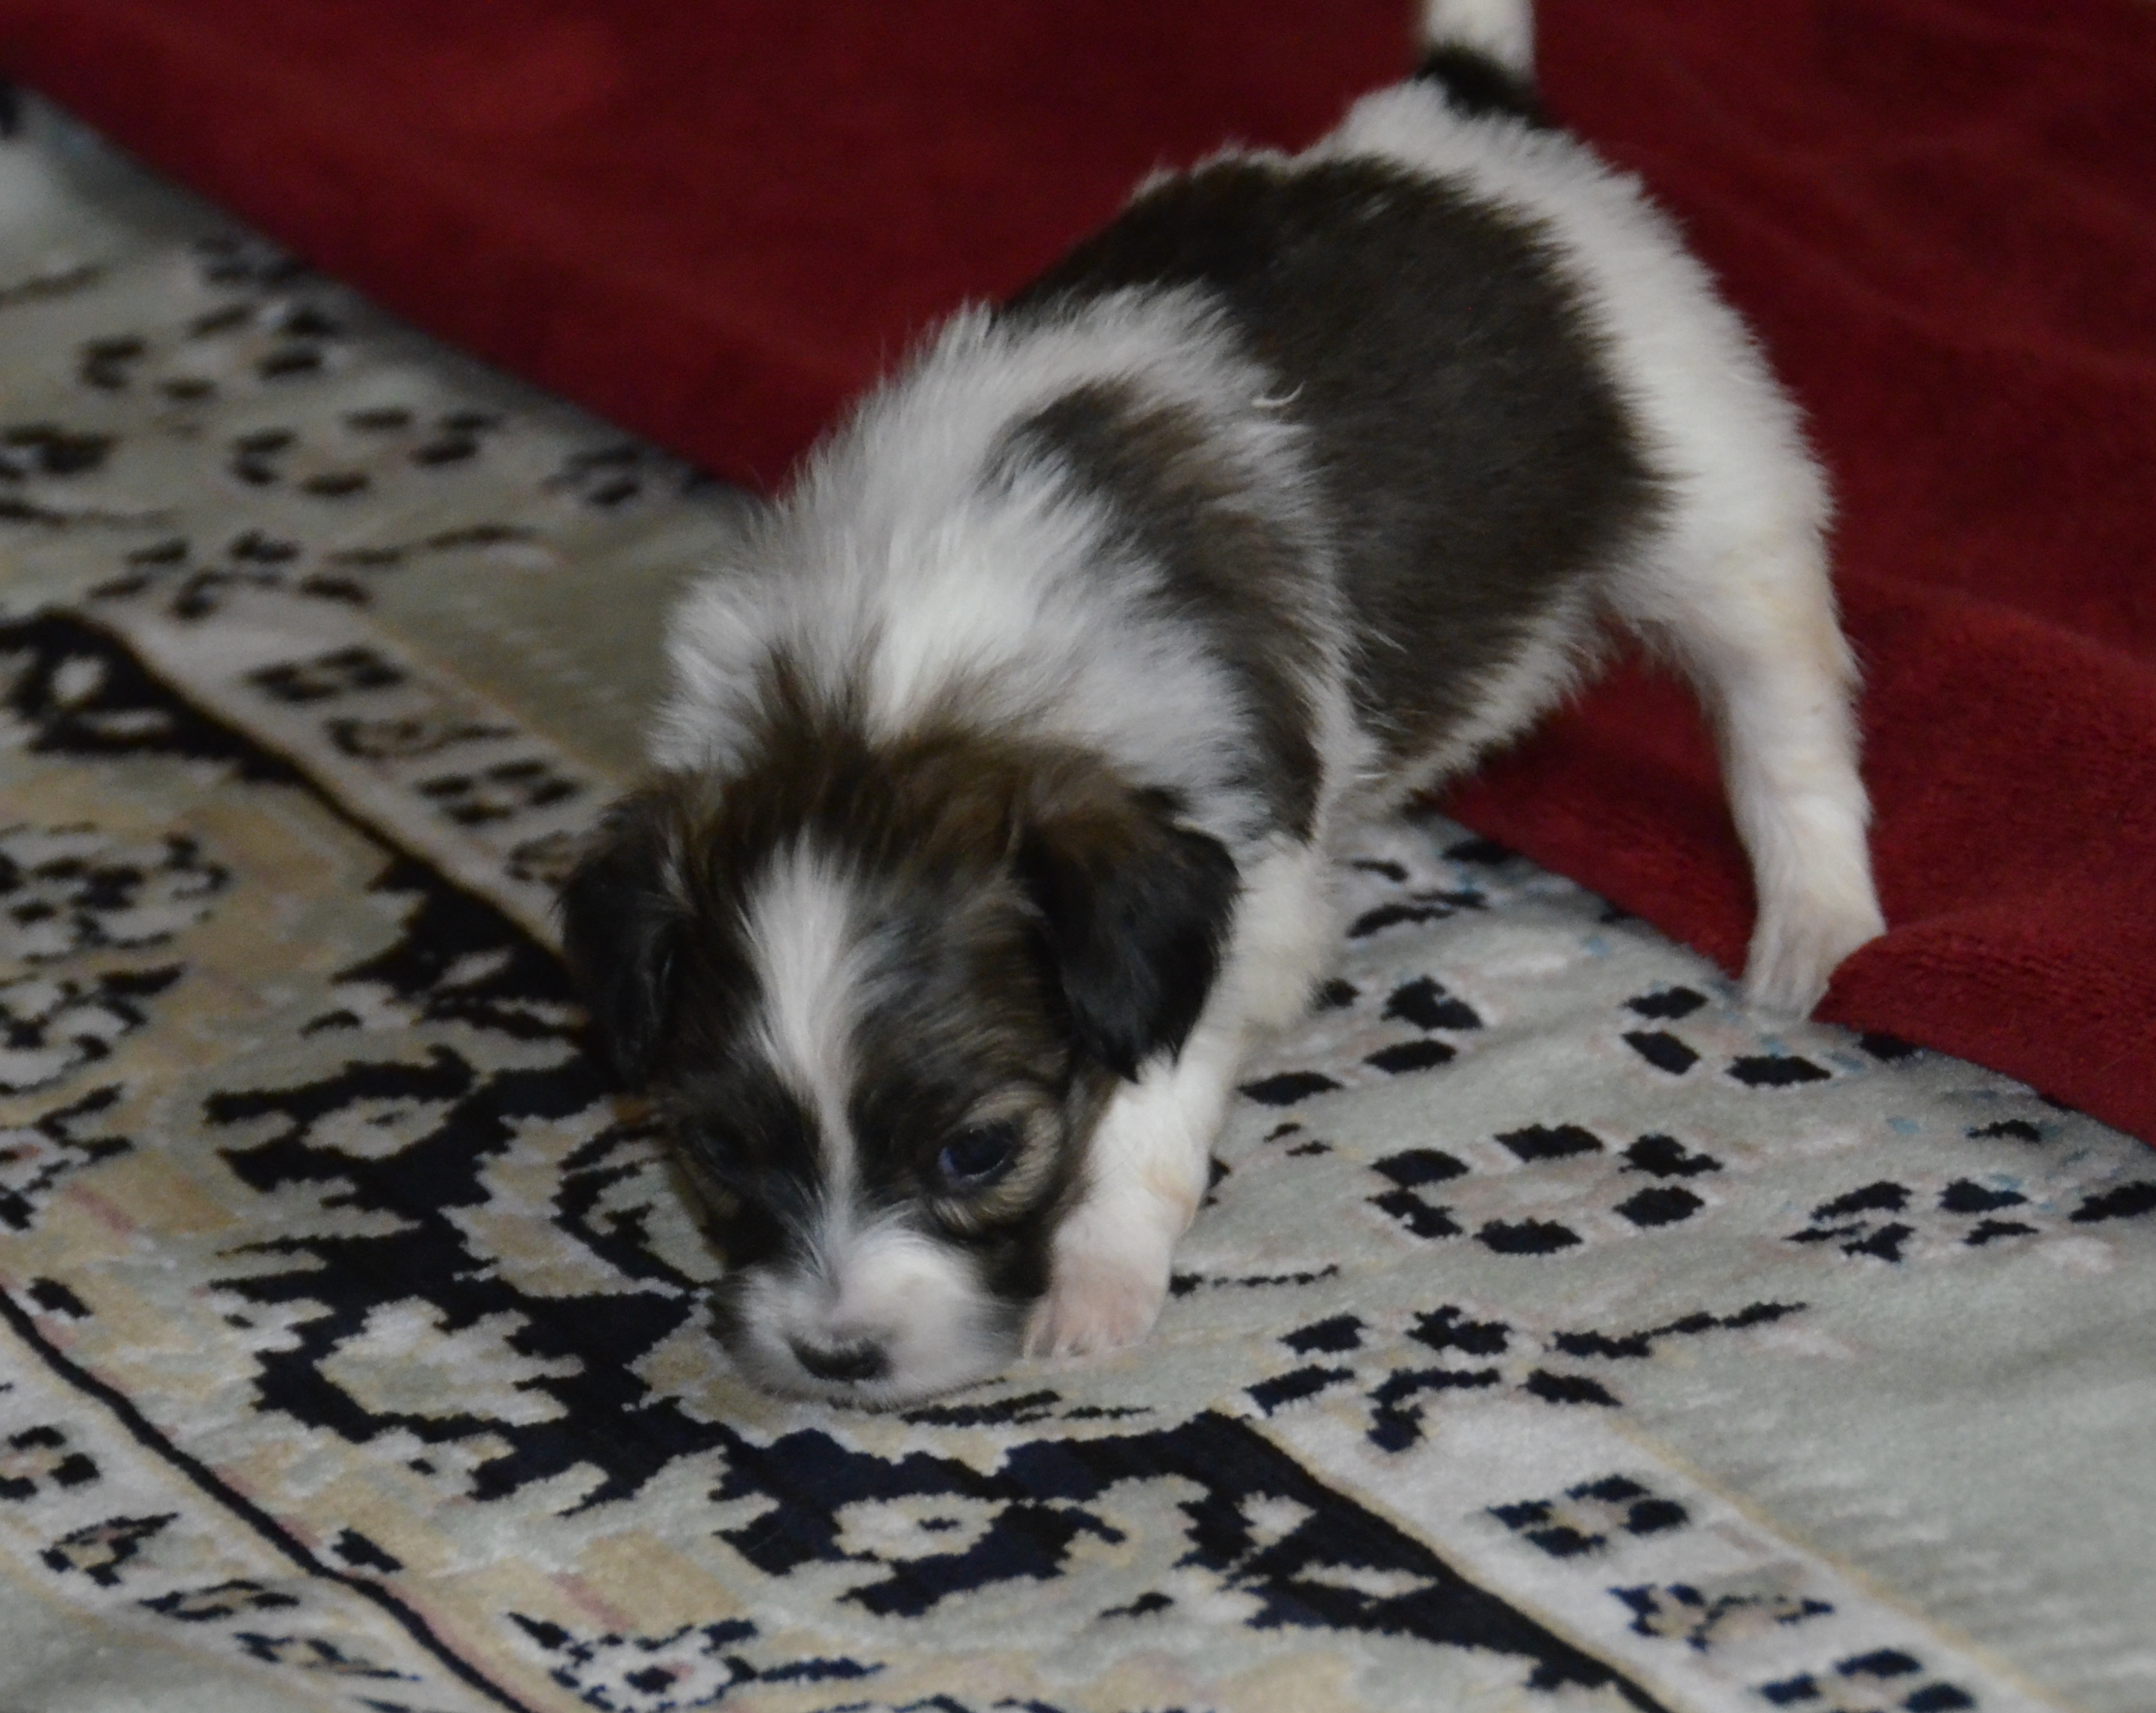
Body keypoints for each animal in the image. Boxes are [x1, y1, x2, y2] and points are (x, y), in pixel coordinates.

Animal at [558, 0, 1886, 1406]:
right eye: (716, 1149)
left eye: (977, 1151)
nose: (836, 1354)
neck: (891, 695)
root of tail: (1463, 108)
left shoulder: (1229, 900)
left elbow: (1149, 1108)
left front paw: (1096, 1280)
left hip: (1724, 511)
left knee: (1789, 726)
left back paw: (1814, 921)